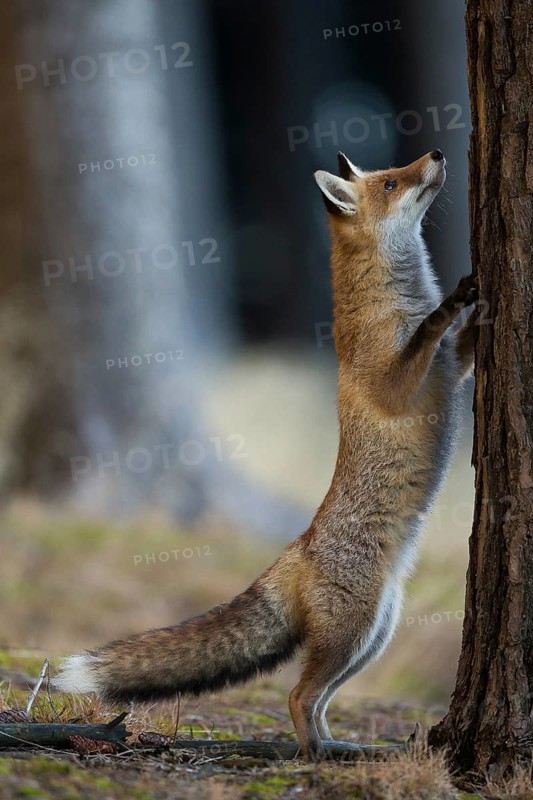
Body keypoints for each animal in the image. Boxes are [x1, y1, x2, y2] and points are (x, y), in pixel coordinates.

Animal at [55, 149, 478, 761]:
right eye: (392, 182)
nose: (438, 155)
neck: (391, 300)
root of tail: (295, 548)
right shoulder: (395, 385)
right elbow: (428, 331)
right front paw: (453, 302)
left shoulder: (451, 372)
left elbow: (460, 347)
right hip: (357, 630)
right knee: (298, 696)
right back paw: (315, 756)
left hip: (374, 634)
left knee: (317, 699)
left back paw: (339, 747)